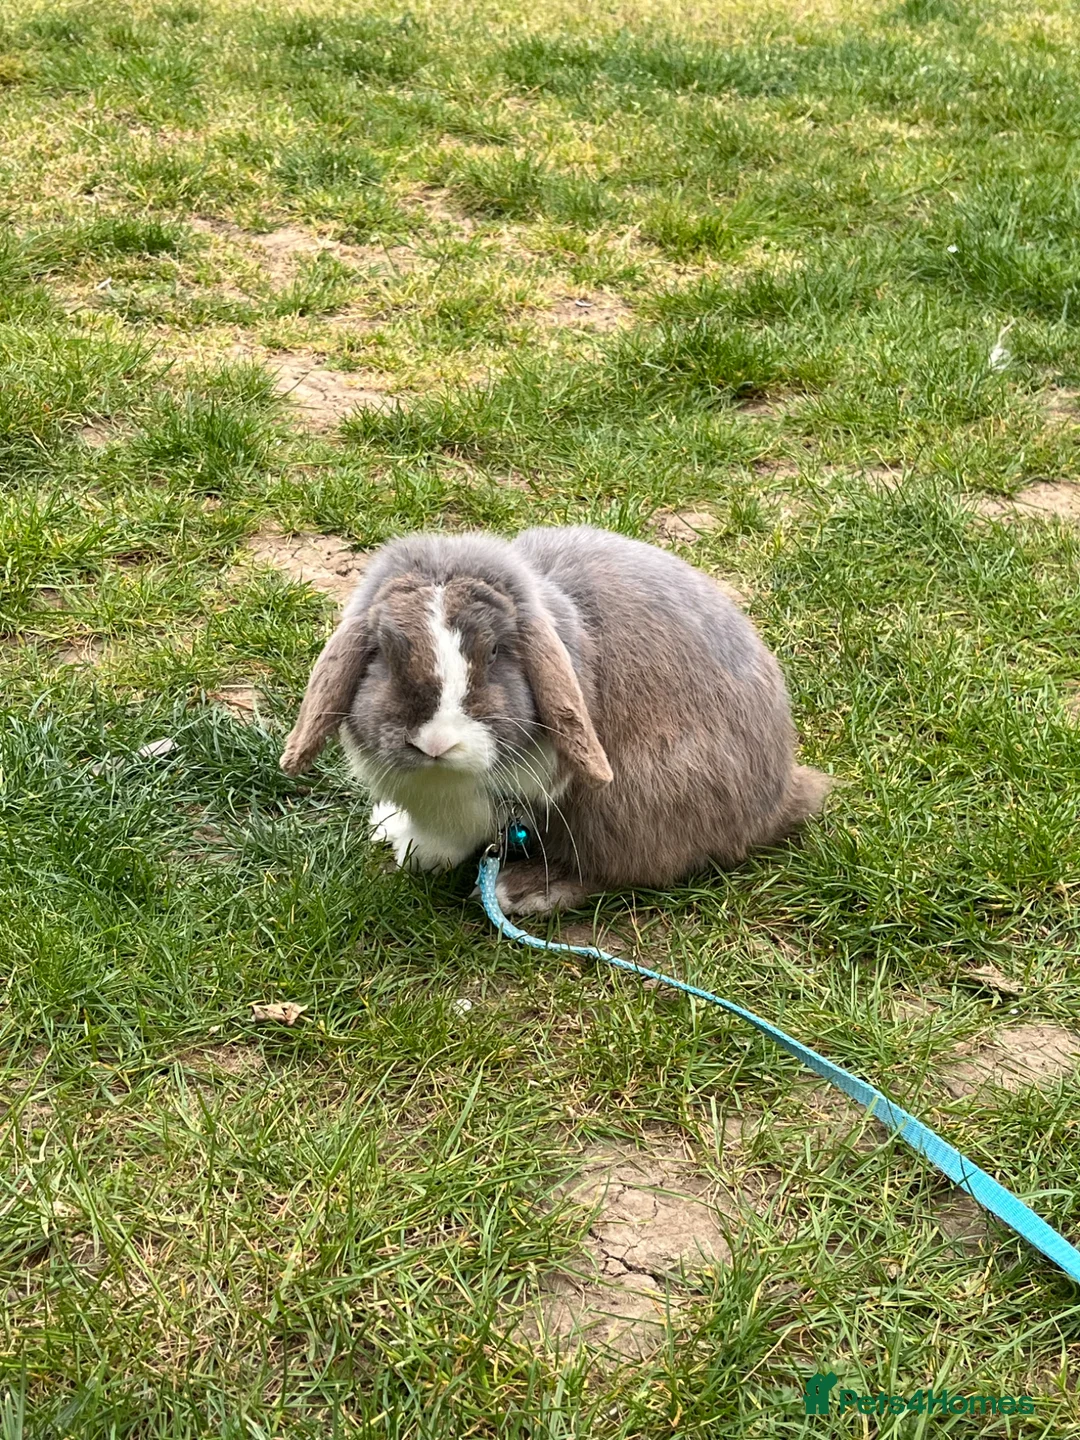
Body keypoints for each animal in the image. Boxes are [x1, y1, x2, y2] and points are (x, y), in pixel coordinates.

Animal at [280, 525, 829, 915]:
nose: (436, 743)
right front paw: (396, 832)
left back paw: (520, 892)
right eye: (388, 652)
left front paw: (422, 856)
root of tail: (780, 796)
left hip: (630, 804)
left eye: (496, 652)